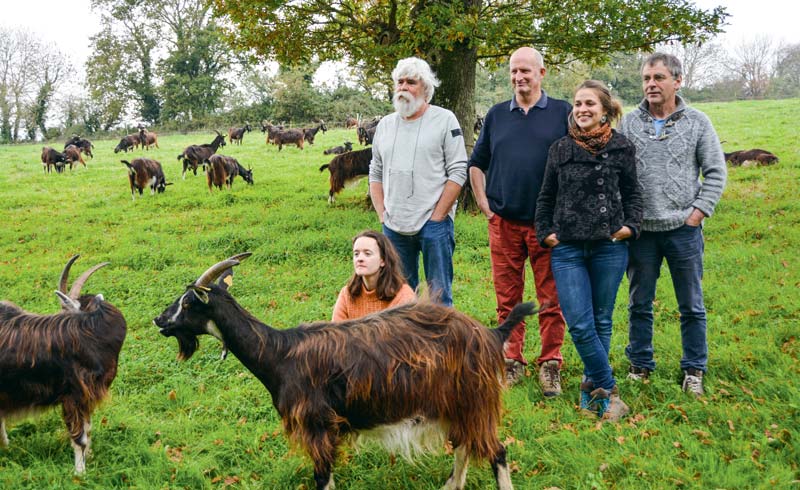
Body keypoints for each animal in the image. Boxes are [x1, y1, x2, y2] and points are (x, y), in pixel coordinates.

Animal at [154, 253, 536, 490]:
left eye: (187, 302)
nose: (159, 320)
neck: (279, 355)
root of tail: (490, 334)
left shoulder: (317, 425)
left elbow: (322, 478)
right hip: (455, 402)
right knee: (466, 444)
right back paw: (451, 484)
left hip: (473, 397)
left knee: (496, 451)